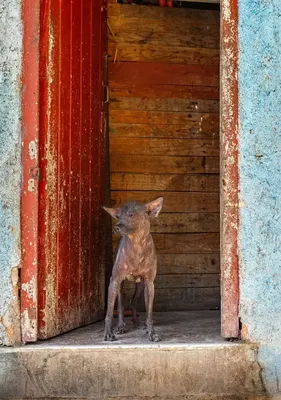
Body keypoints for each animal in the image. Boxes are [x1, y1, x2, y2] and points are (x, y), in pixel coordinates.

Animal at [103, 197, 163, 340]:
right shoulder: (114, 280)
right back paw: (120, 325)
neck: (137, 246)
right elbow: (109, 312)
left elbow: (149, 313)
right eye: (118, 216)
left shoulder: (149, 283)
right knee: (121, 305)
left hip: (140, 285)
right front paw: (108, 332)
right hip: (119, 285)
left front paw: (151, 332)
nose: (116, 227)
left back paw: (137, 322)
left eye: (131, 215)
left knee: (133, 301)